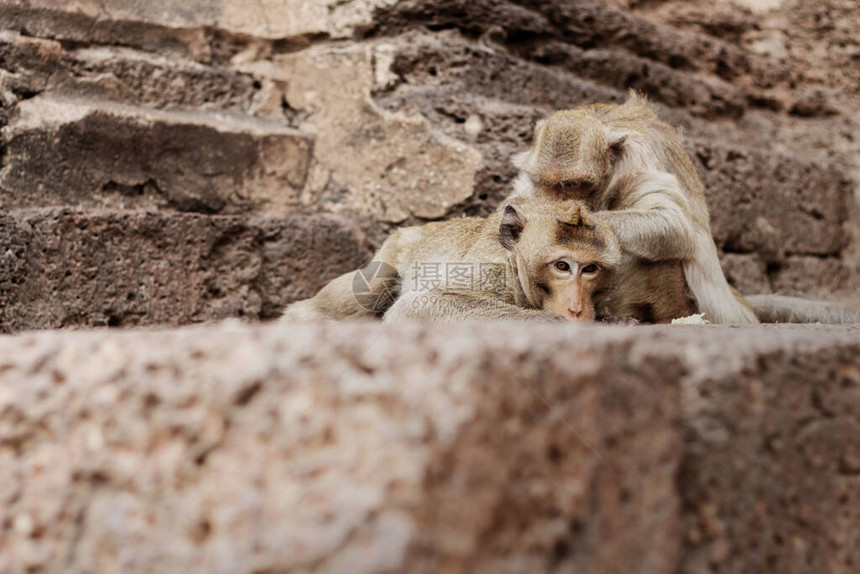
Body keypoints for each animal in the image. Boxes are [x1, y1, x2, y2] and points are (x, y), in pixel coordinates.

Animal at [278, 197, 696, 324]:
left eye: (590, 268)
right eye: (563, 266)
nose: (578, 308)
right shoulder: (490, 272)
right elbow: (421, 303)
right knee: (379, 276)